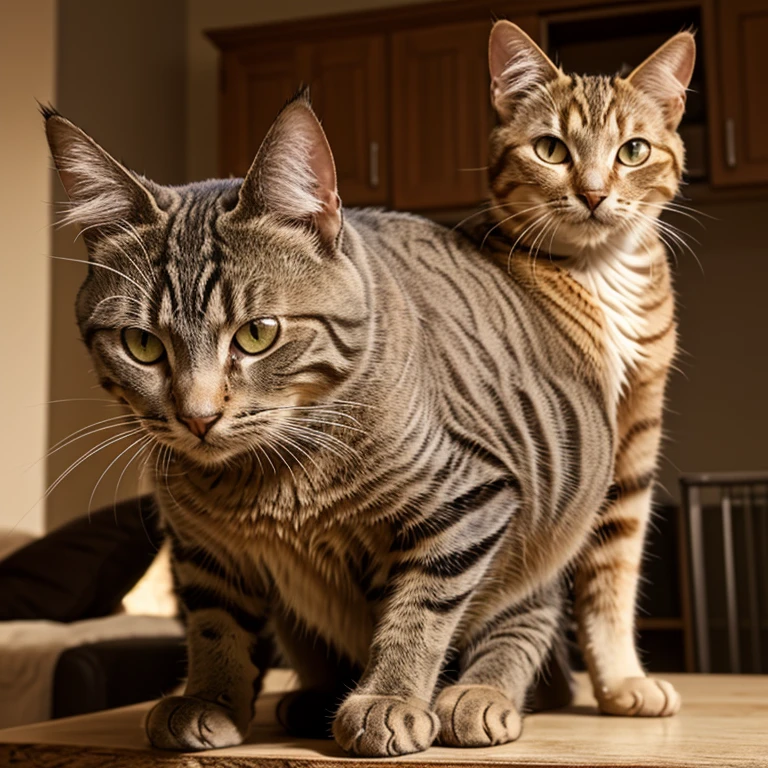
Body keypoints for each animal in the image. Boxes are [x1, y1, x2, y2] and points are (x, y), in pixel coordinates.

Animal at [46, 94, 612, 756]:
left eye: (258, 334)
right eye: (142, 345)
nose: (198, 416)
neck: (264, 480)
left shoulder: (471, 498)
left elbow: (419, 612)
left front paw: (390, 697)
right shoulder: (200, 545)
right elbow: (215, 625)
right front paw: (211, 697)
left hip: (542, 532)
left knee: (525, 623)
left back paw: (481, 694)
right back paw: (312, 697)